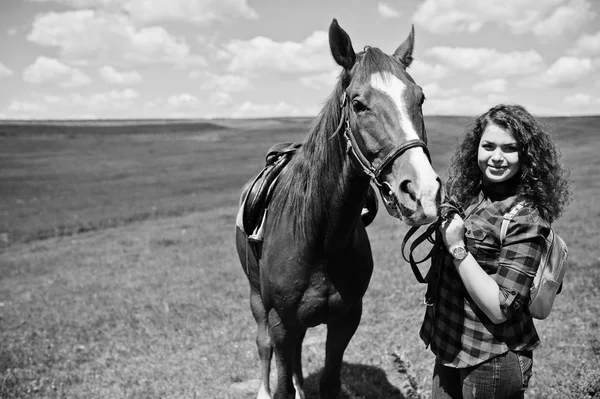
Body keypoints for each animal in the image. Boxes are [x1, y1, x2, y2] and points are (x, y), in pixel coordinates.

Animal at [237, 19, 442, 399]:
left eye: (420, 98)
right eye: (358, 104)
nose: (421, 192)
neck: (320, 239)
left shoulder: (346, 318)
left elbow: (329, 381)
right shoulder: (280, 321)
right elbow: (281, 380)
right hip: (257, 299)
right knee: (263, 346)